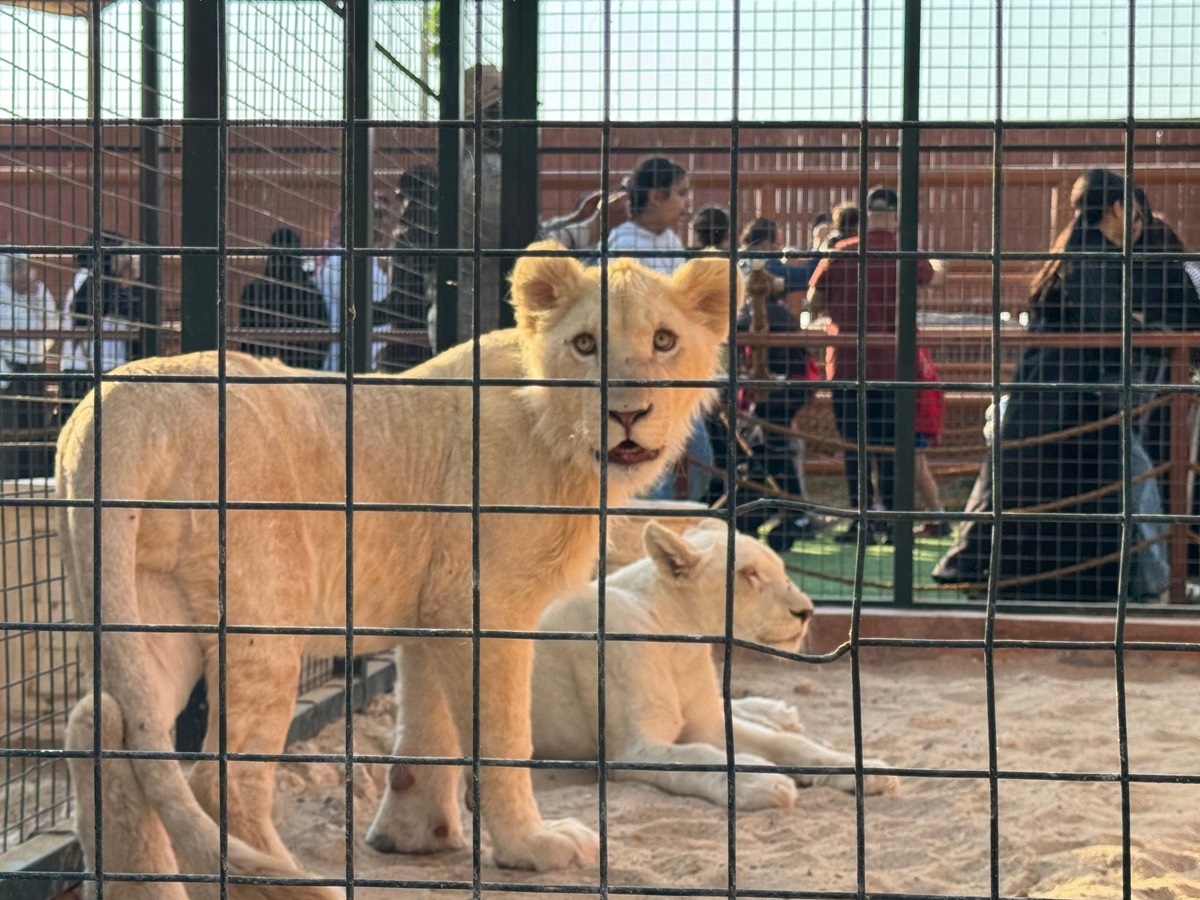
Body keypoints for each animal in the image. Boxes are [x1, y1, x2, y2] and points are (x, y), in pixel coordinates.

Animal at [56, 242, 737, 898]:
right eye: (586, 343)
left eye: (665, 340)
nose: (628, 414)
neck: (560, 435)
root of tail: (121, 402)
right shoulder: (483, 603)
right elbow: (501, 734)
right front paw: (530, 846)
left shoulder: (435, 606)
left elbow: (428, 729)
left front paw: (414, 836)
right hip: (264, 614)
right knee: (218, 781)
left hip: (145, 606)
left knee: (102, 725)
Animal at [531, 521, 899, 808]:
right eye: (749, 574)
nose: (806, 611)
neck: (681, 647)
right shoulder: (631, 748)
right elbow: (696, 755)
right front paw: (759, 782)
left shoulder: (709, 724)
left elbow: (784, 743)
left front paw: (860, 768)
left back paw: (778, 715)